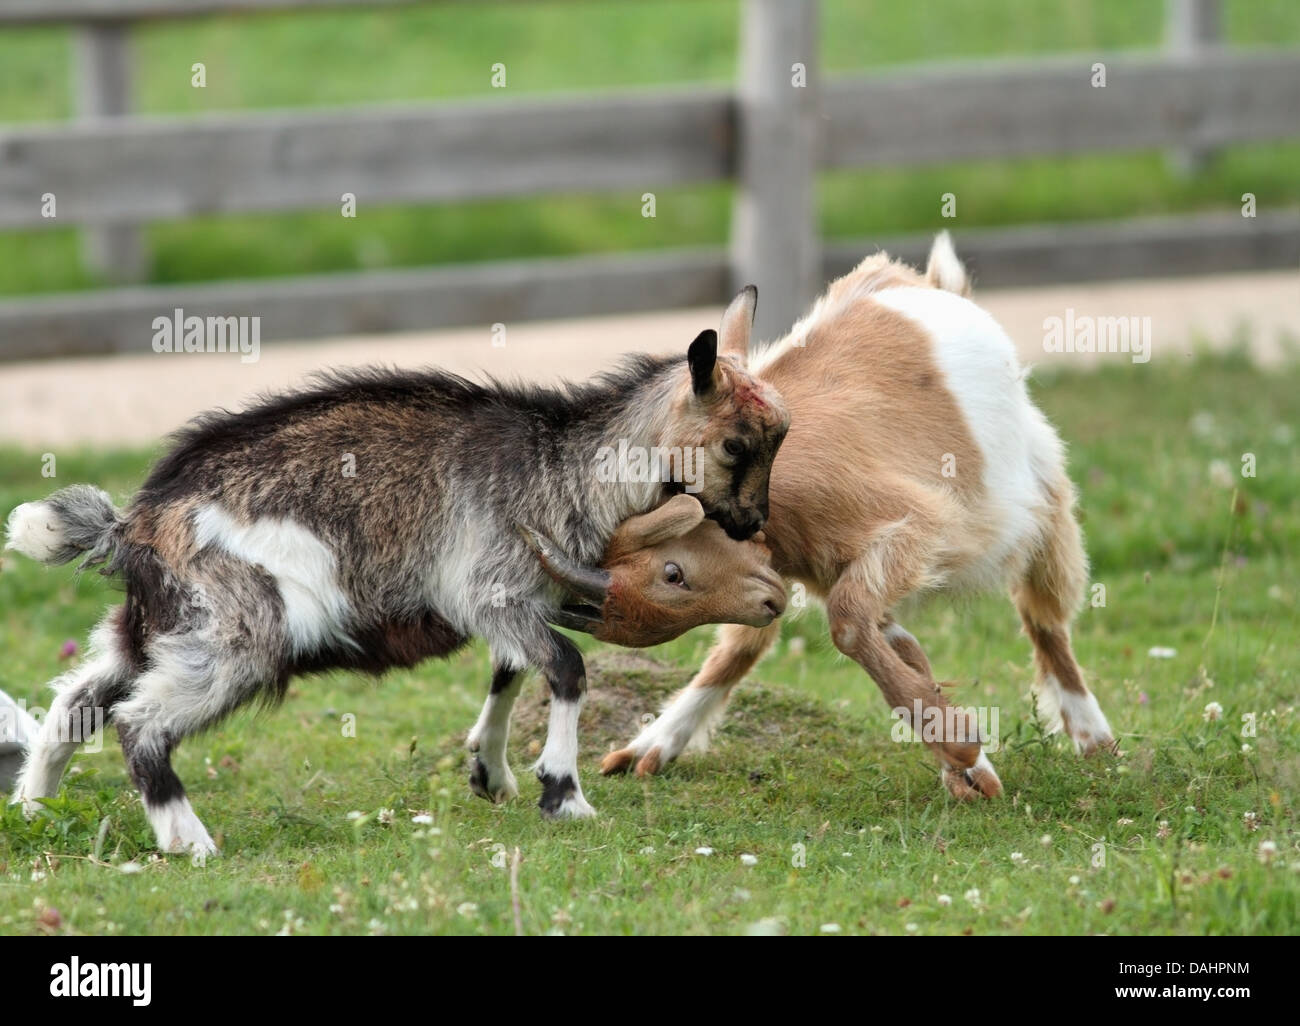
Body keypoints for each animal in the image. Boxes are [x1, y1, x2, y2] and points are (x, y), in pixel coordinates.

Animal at [3, 288, 790, 854]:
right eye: (735, 444)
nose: (753, 524)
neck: (561, 468)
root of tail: (135, 525)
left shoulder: (517, 599)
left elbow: (510, 669)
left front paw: (491, 772)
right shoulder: (491, 586)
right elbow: (565, 665)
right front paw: (564, 795)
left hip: (153, 630)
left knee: (77, 701)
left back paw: (36, 810)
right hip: (238, 631)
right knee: (139, 721)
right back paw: (188, 842)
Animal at [525, 234, 1116, 798]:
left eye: (672, 573)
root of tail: (936, 286)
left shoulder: (917, 526)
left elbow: (850, 622)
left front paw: (962, 749)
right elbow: (891, 642)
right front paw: (966, 764)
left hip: (1041, 496)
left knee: (1045, 617)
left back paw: (1094, 738)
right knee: (747, 645)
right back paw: (652, 746)